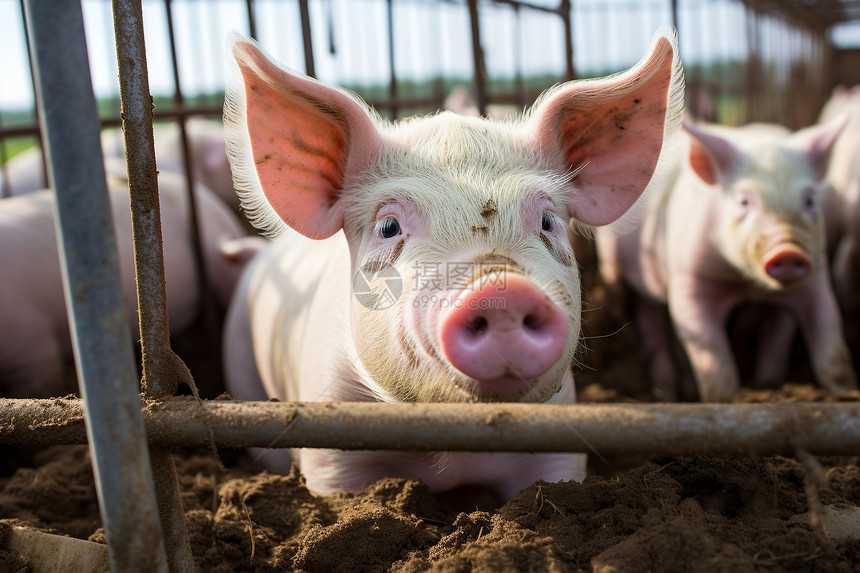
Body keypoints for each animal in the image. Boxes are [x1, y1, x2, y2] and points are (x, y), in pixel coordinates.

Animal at [222, 29, 684, 500]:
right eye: (388, 226)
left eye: (548, 221)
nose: (500, 290)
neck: (451, 453)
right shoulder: (330, 450)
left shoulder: (558, 439)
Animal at [596, 118, 860, 400]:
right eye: (744, 201)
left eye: (810, 200)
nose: (788, 251)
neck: (746, 283)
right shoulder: (691, 278)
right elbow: (712, 356)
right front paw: (727, 400)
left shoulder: (815, 275)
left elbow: (827, 339)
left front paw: (843, 393)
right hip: (617, 264)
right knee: (650, 324)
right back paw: (666, 395)